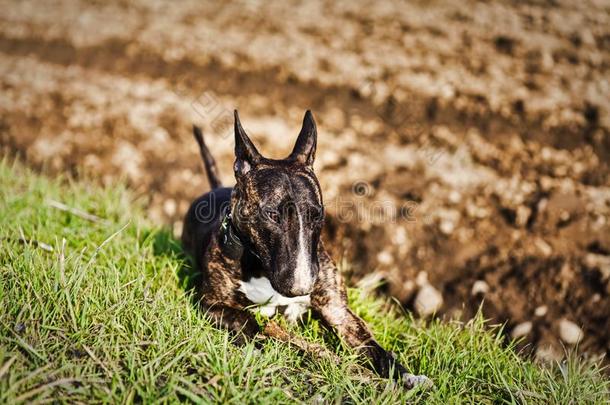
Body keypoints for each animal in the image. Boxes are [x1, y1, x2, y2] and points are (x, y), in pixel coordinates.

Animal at [180, 109, 428, 388]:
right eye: (272, 215)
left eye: (316, 214)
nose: (302, 287)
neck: (261, 268)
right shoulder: (211, 305)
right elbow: (259, 327)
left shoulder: (338, 311)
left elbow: (376, 348)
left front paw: (407, 376)